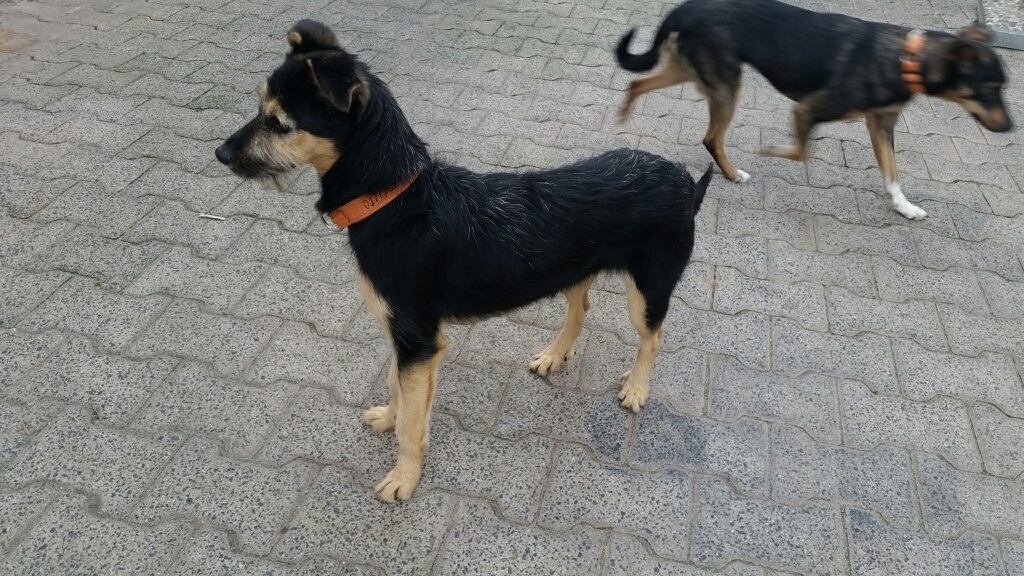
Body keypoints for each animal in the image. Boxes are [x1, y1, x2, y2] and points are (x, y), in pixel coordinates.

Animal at [215, 20, 713, 502]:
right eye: (261, 108)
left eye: (280, 122)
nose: (220, 154)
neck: (395, 199)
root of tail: (682, 179)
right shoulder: (404, 337)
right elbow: (397, 389)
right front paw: (388, 417)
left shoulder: (418, 341)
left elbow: (412, 422)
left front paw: (404, 477)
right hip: (576, 269)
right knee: (581, 309)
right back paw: (555, 355)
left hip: (648, 288)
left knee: (653, 337)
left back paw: (637, 386)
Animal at [616, 0, 1012, 220]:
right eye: (990, 88)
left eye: (1003, 87)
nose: (1010, 127)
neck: (905, 58)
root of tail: (686, 7)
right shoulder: (807, 111)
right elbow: (801, 151)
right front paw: (771, 149)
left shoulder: (880, 125)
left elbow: (892, 174)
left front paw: (904, 207)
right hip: (726, 84)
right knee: (712, 137)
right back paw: (732, 173)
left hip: (693, 71)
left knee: (637, 84)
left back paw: (623, 116)